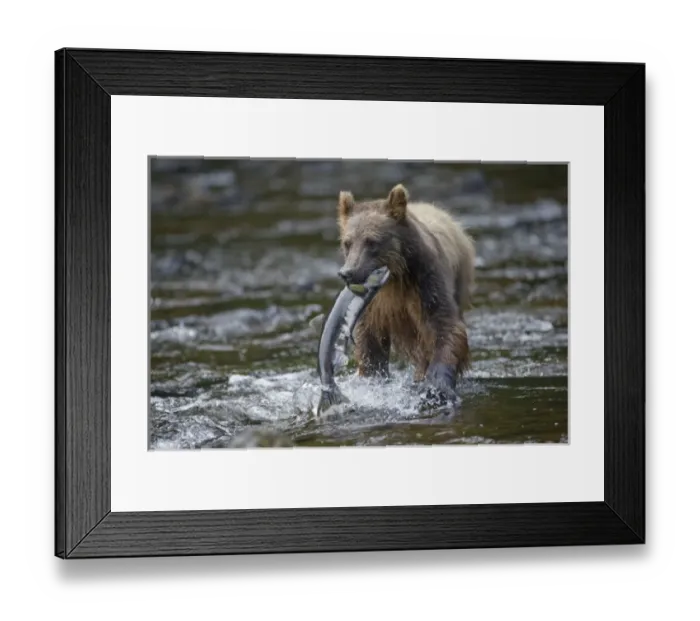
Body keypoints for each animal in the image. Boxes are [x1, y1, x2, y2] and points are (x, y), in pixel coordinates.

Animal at [336, 183, 476, 403]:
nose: (348, 272)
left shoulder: (426, 282)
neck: (395, 278)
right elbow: (370, 338)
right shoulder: (373, 304)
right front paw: (372, 377)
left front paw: (437, 385)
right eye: (347, 242)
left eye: (371, 241)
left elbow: (445, 327)